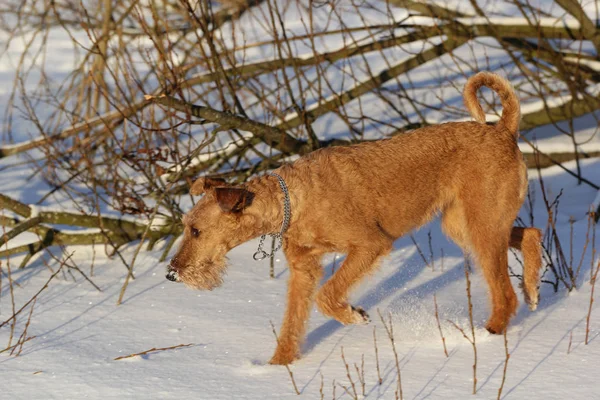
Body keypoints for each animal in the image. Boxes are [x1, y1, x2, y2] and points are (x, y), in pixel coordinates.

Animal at [165, 72, 544, 366]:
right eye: (186, 228)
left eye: (196, 231)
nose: (171, 273)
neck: (292, 200)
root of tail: (503, 129)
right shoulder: (304, 270)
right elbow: (293, 322)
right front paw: (277, 367)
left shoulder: (370, 245)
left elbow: (327, 295)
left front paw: (353, 315)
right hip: (464, 225)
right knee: (531, 233)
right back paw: (532, 290)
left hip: (480, 226)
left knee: (504, 291)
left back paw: (492, 332)